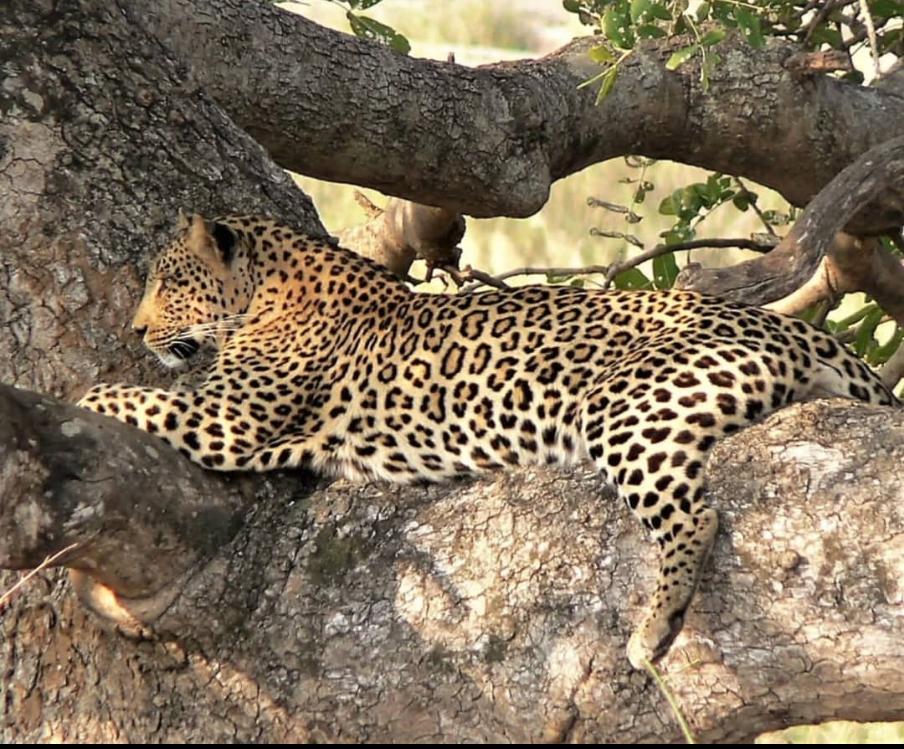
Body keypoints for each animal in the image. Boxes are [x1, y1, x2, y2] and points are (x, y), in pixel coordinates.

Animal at [78, 212, 899, 669]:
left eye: (170, 282)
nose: (136, 331)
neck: (268, 289)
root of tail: (792, 326)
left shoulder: (230, 419)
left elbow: (111, 393)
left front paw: (79, 396)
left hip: (628, 407)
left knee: (694, 517)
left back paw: (650, 629)